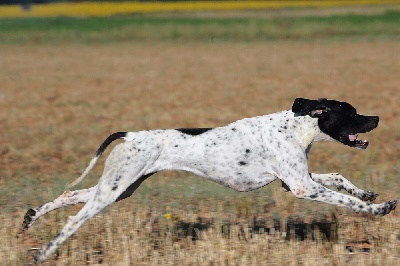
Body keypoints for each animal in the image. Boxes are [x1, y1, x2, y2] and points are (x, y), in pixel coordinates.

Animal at [23, 97, 396, 262]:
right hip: (112, 191)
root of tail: (130, 135)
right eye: (351, 113)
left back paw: (32, 217)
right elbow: (348, 202)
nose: (377, 118)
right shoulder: (303, 187)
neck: (296, 127)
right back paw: (45, 251)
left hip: (120, 187)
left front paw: (365, 192)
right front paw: (379, 209)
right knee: (74, 219)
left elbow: (339, 177)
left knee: (69, 195)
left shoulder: (295, 180)